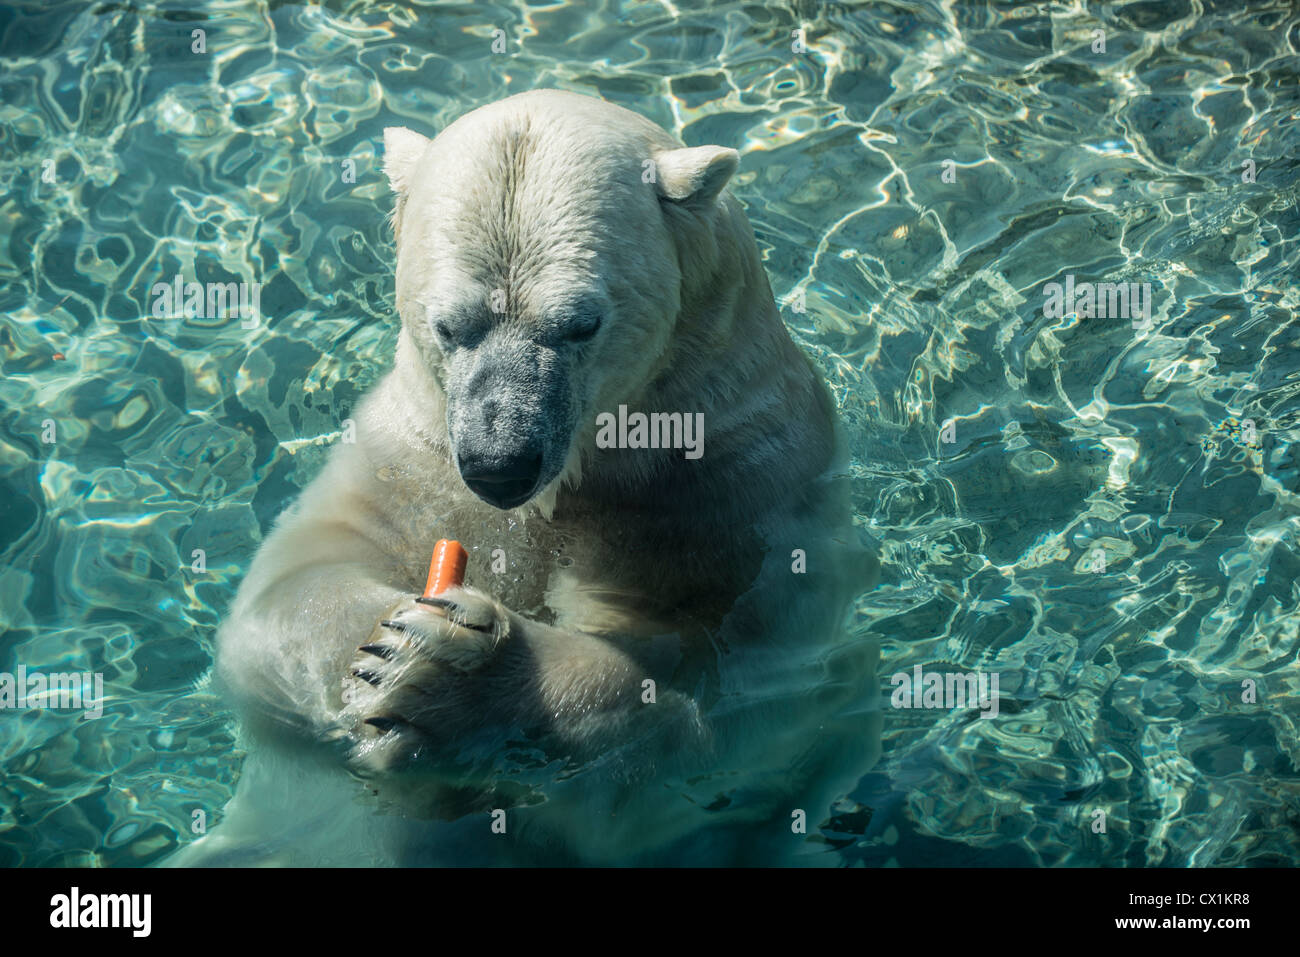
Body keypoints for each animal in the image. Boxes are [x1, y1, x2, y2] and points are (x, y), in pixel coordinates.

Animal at [172, 89, 880, 866]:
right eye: (448, 326)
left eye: (581, 323)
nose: (498, 464)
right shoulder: (412, 458)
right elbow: (282, 599)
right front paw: (382, 654)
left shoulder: (740, 483)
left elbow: (731, 711)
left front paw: (452, 671)